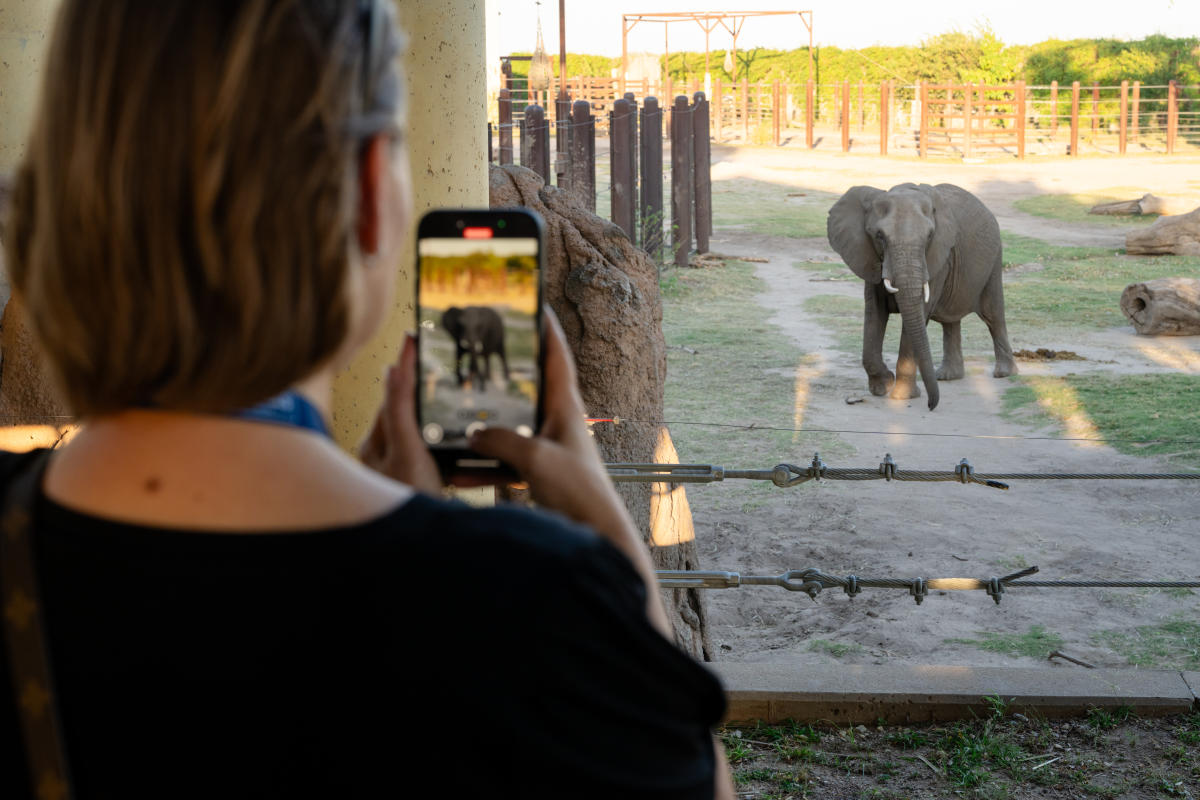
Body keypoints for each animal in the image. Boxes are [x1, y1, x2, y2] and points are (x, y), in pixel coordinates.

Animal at [826, 182, 1017, 410]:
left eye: (929, 236)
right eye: (879, 235)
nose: (931, 405)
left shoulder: (938, 257)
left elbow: (916, 315)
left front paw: (902, 396)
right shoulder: (869, 257)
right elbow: (875, 314)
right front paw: (882, 386)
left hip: (994, 259)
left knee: (992, 315)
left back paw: (1004, 373)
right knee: (950, 321)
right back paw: (947, 376)